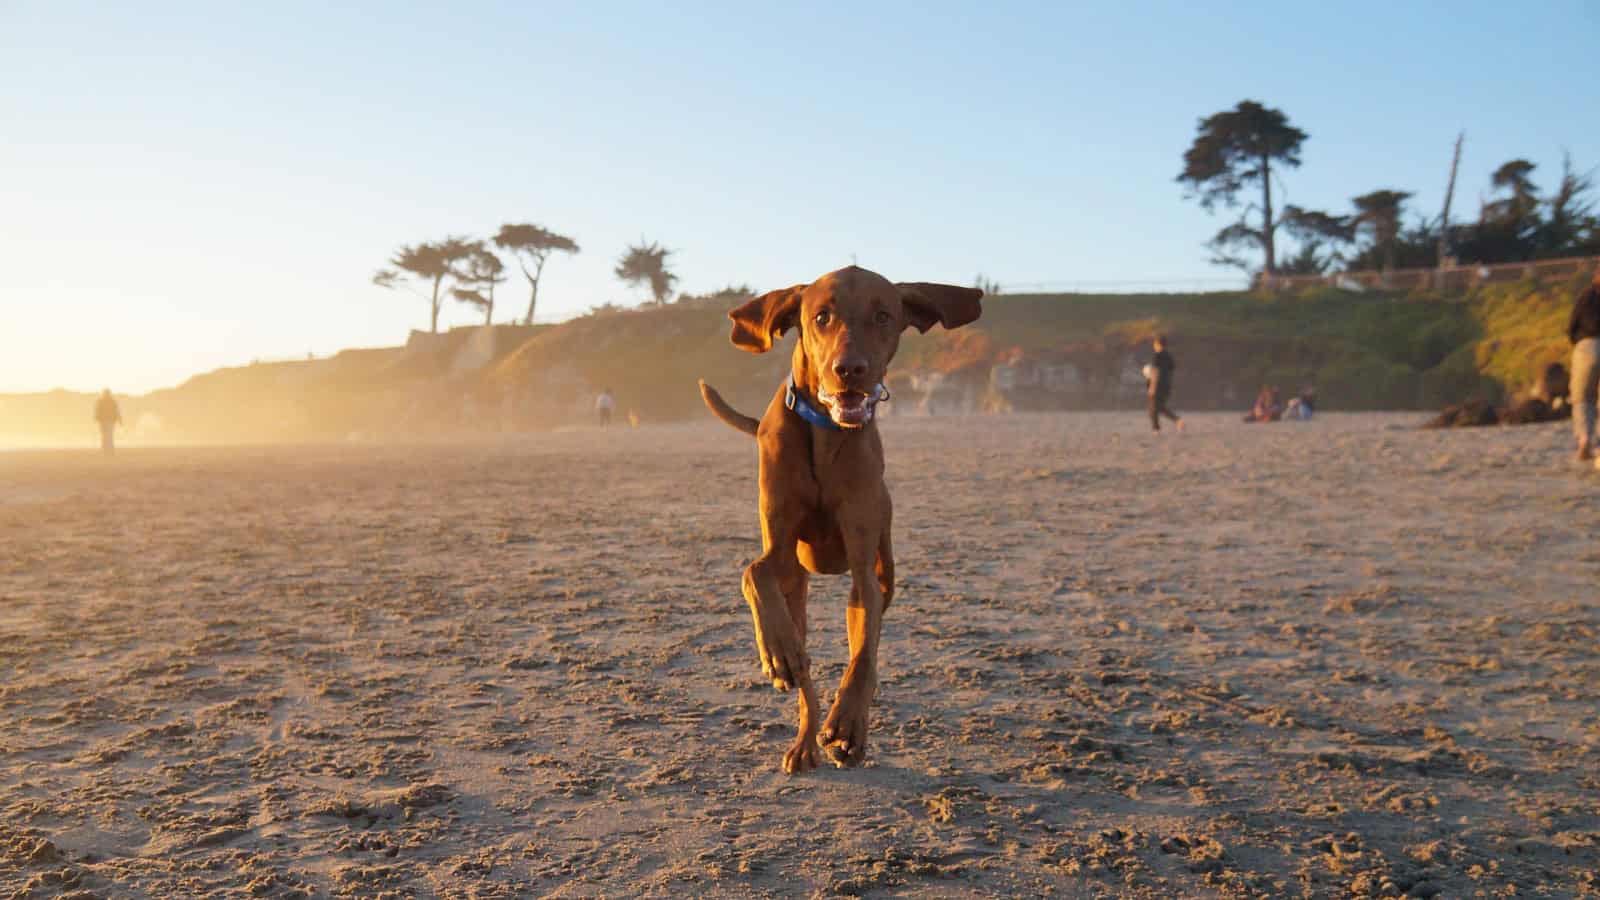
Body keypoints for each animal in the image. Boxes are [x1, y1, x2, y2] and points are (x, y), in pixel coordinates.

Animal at [704, 265, 985, 771]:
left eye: (884, 315)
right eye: (821, 316)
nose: (850, 369)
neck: (825, 430)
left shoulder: (862, 565)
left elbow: (864, 655)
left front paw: (849, 727)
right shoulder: (779, 548)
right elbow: (754, 570)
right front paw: (776, 651)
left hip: (884, 562)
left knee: (868, 638)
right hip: (798, 589)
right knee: (805, 670)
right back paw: (802, 734)